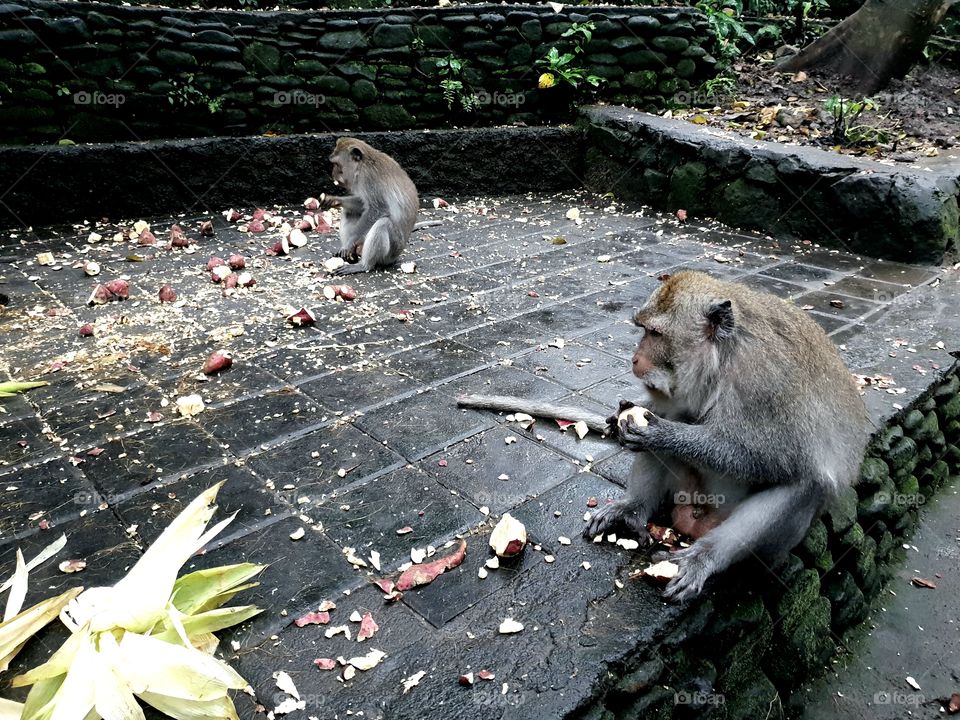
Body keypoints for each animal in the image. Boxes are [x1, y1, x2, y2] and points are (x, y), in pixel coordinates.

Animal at [320, 137, 419, 275]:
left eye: (336, 164)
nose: (333, 174)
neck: (362, 165)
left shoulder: (369, 179)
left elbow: (378, 209)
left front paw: (349, 243)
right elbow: (363, 204)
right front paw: (334, 200)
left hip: (392, 252)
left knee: (383, 223)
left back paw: (364, 265)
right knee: (349, 212)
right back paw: (351, 256)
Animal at [457, 271, 869, 601]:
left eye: (654, 333)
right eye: (643, 330)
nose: (634, 357)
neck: (724, 356)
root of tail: (694, 518)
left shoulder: (766, 382)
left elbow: (781, 458)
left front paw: (662, 435)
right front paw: (621, 417)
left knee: (803, 483)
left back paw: (704, 556)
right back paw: (632, 510)